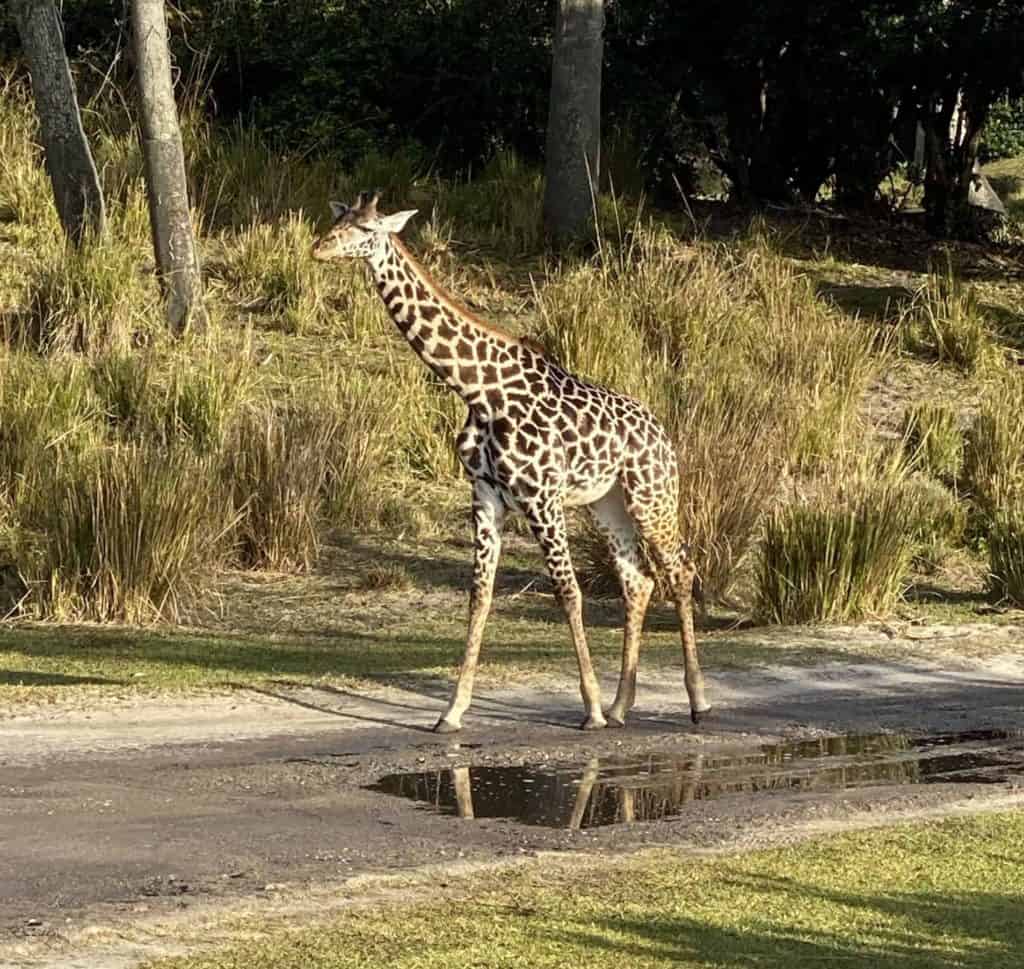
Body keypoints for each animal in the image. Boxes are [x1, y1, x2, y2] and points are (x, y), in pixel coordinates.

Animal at [312, 191, 711, 732]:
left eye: (368, 230)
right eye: (339, 221)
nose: (319, 248)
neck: (480, 392)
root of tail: (663, 433)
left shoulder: (542, 497)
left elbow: (568, 592)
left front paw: (588, 709)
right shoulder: (485, 496)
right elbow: (480, 595)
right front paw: (452, 711)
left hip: (652, 496)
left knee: (680, 571)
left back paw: (695, 700)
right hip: (607, 503)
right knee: (638, 580)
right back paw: (621, 705)